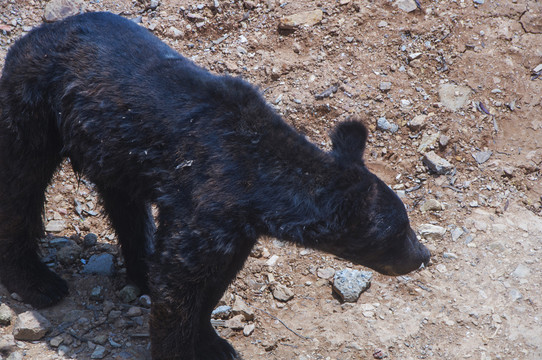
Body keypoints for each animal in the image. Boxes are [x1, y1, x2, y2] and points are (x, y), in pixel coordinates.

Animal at [0, 11, 430, 360]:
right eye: (399, 231)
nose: (423, 255)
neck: (258, 181)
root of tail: (33, 35)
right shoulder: (207, 204)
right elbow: (180, 283)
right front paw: (179, 346)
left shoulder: (236, 228)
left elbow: (213, 282)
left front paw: (213, 340)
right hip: (34, 107)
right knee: (20, 187)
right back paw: (38, 281)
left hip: (113, 150)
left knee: (125, 206)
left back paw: (139, 268)